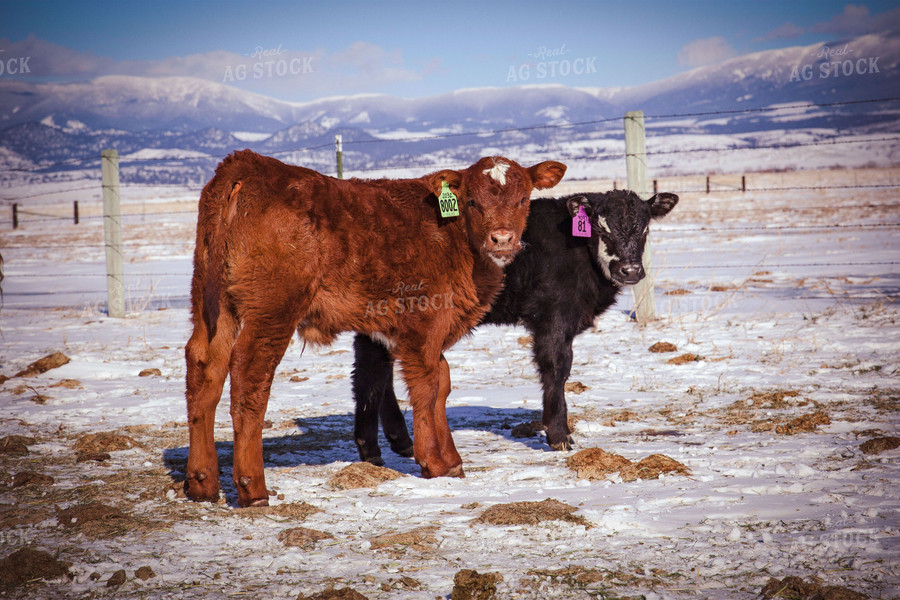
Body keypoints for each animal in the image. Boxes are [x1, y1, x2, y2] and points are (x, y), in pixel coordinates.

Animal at [184, 151, 568, 506]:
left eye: (523, 199)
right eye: (472, 200)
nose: (501, 239)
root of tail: (247, 163)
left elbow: (442, 382)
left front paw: (451, 460)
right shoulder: (423, 324)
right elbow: (428, 386)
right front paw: (434, 461)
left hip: (212, 302)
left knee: (204, 367)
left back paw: (203, 481)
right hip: (273, 309)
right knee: (250, 376)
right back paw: (253, 487)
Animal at [350, 190, 676, 462]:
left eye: (645, 228)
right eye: (601, 228)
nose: (630, 270)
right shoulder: (554, 318)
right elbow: (557, 369)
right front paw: (559, 436)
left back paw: (399, 441)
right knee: (370, 372)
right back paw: (371, 450)